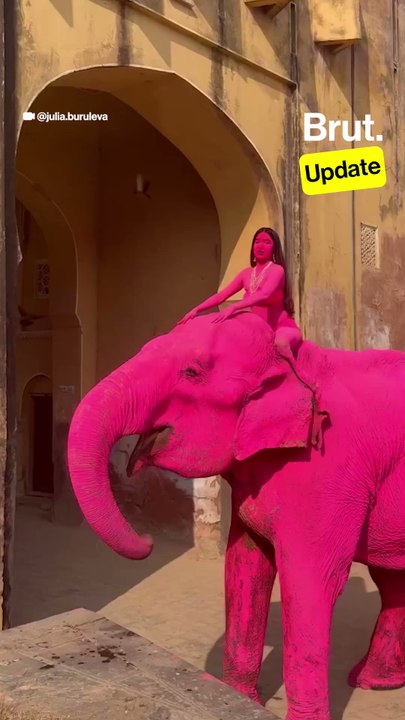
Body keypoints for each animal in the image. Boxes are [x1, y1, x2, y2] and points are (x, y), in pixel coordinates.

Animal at [67, 311, 405, 720]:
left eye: (191, 372)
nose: (147, 542)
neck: (289, 360)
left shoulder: (328, 470)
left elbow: (309, 581)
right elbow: (243, 566)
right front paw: (237, 700)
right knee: (390, 579)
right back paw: (373, 681)